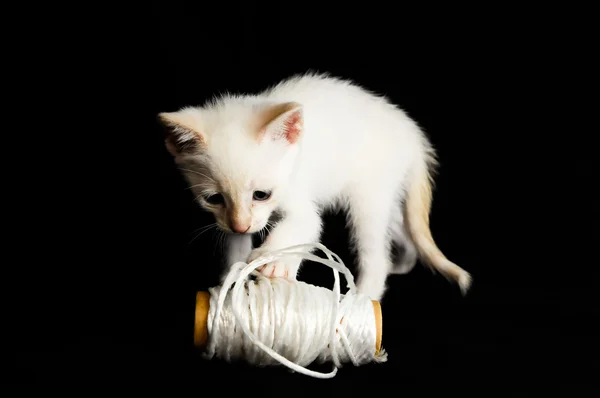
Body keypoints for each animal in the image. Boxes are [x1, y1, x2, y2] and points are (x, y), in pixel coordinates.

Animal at [158, 73, 468, 300]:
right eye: (214, 199)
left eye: (261, 195)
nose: (241, 224)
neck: (292, 157)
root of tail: (413, 135)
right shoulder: (229, 222)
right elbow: (235, 247)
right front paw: (231, 283)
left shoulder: (297, 197)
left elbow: (305, 224)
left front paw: (271, 260)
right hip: (386, 194)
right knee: (401, 230)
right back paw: (402, 264)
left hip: (368, 195)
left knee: (376, 253)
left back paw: (364, 298)